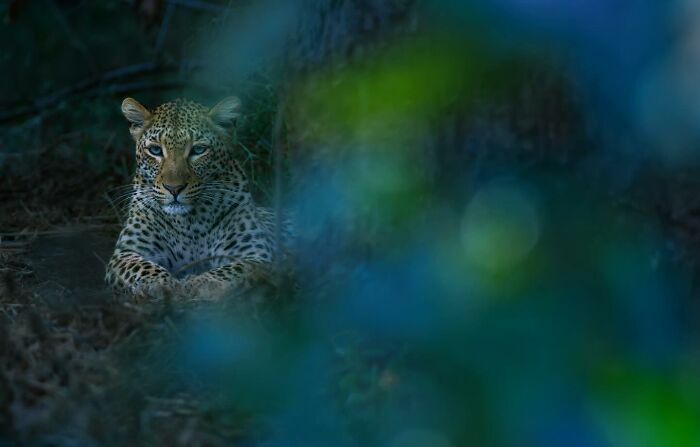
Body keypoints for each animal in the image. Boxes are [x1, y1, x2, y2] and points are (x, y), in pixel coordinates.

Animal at [105, 96, 284, 300]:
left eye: (198, 150)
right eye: (155, 150)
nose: (174, 188)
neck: (189, 223)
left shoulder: (257, 254)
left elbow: (232, 270)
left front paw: (197, 283)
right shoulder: (127, 253)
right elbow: (142, 268)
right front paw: (163, 284)